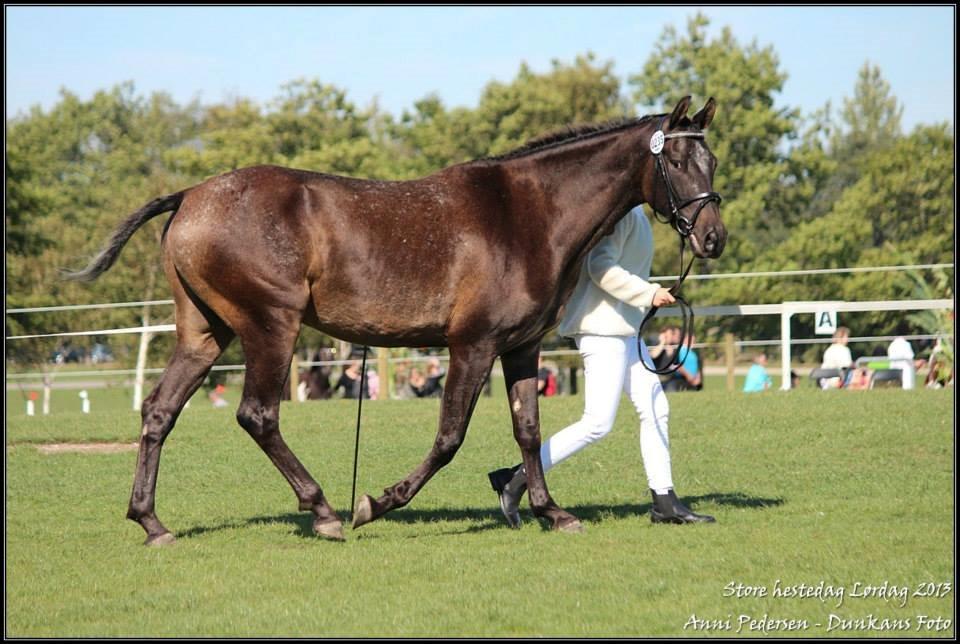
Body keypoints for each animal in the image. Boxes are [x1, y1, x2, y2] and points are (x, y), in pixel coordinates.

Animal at [67, 95, 724, 544]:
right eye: (677, 162)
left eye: (712, 160)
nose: (713, 237)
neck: (527, 214)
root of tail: (191, 196)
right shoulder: (472, 345)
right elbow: (449, 438)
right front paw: (377, 503)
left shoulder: (520, 348)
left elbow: (529, 431)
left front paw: (549, 511)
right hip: (271, 327)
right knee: (258, 415)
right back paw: (325, 512)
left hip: (205, 333)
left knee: (159, 412)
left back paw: (152, 522)